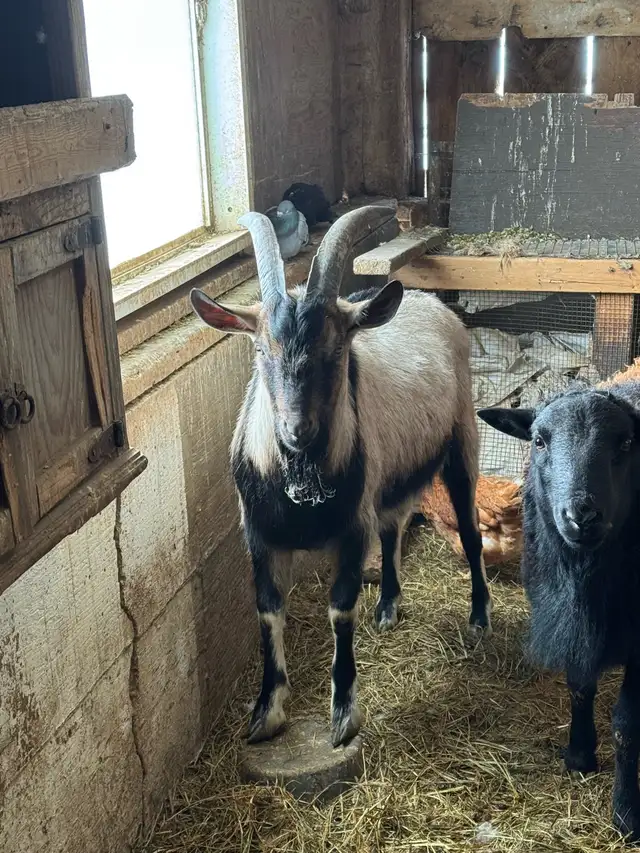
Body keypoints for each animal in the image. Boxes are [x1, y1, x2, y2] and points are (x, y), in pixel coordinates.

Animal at [191, 206, 492, 747]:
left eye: (335, 351)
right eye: (261, 351)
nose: (297, 430)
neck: (300, 489)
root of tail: (430, 304)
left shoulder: (351, 529)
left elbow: (339, 609)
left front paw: (343, 716)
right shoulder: (260, 536)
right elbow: (268, 610)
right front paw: (266, 714)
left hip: (462, 441)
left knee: (470, 530)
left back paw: (479, 618)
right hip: (392, 476)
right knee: (394, 527)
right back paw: (389, 606)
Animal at [479, 382, 640, 842]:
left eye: (627, 443)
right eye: (539, 440)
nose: (582, 515)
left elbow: (626, 725)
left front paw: (626, 815)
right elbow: (579, 686)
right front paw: (580, 754)